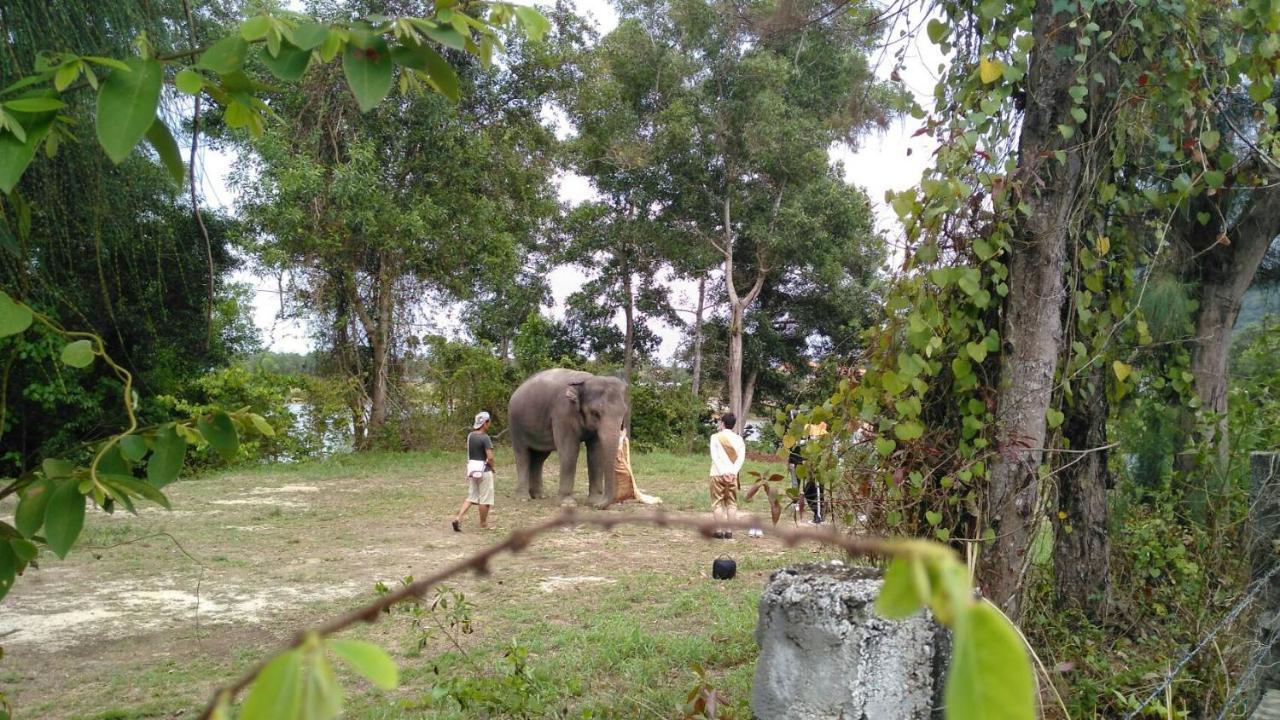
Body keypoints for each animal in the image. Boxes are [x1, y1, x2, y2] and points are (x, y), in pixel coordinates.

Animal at [506, 366, 632, 507]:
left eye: (623, 412)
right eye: (595, 413)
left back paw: (539, 496)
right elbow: (569, 451)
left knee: (539, 458)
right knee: (522, 455)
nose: (598, 506)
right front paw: (567, 503)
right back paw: (523, 498)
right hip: (515, 424)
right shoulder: (563, 413)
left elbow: (596, 453)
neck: (587, 381)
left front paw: (593, 501)